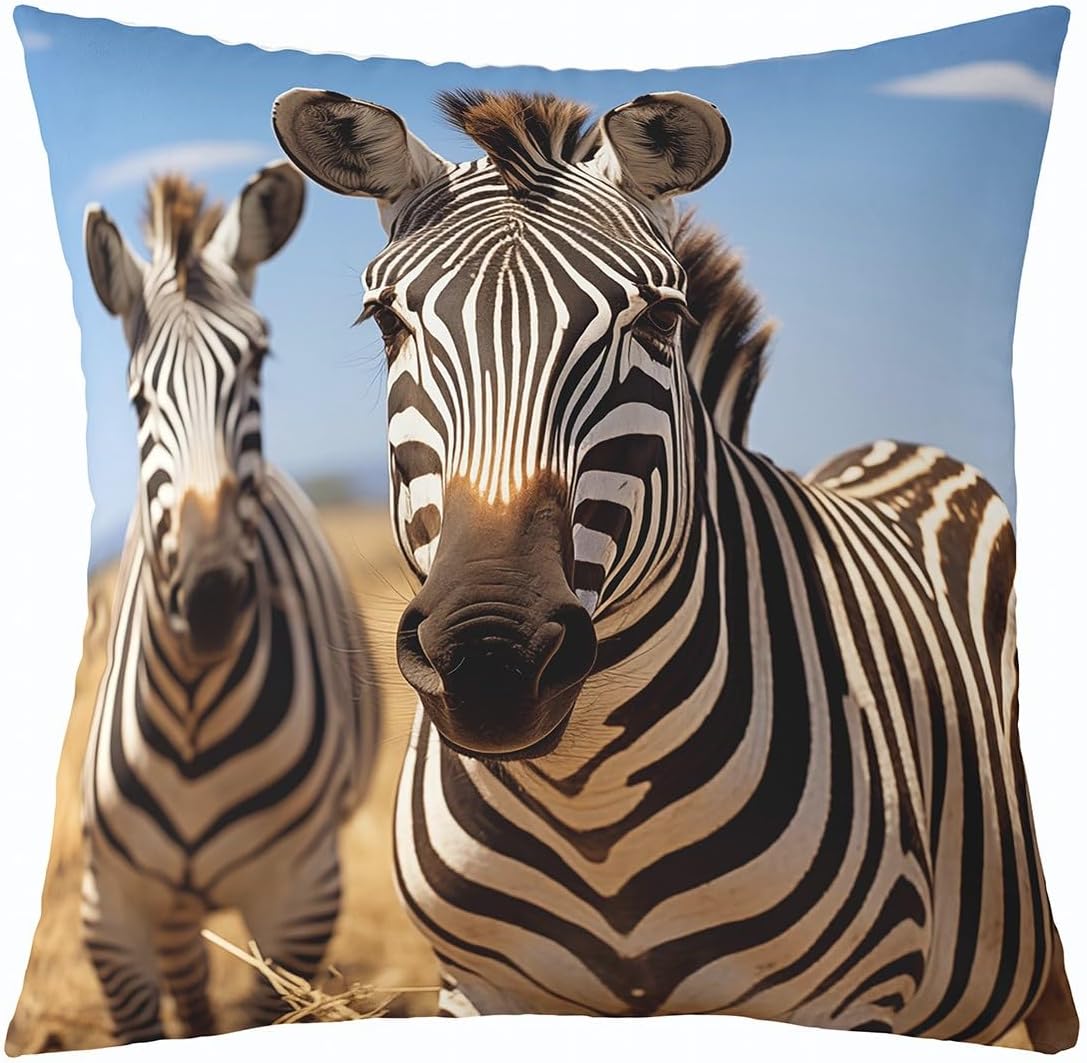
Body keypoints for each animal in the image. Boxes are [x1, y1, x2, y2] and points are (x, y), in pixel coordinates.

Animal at [80, 164, 380, 1042]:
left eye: (256, 363)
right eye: (137, 397)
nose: (212, 601)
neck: (190, 712)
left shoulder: (301, 897)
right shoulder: (109, 909)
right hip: (176, 908)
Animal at [272, 89, 1078, 1050]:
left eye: (657, 320)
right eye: (389, 323)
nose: (490, 659)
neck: (591, 799)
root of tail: (898, 448)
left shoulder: (848, 1004)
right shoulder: (481, 988)